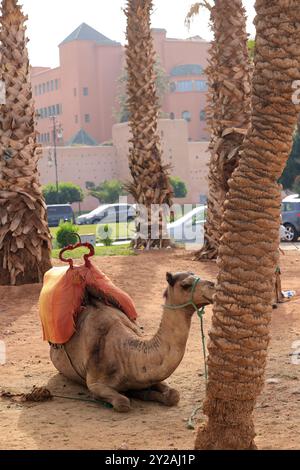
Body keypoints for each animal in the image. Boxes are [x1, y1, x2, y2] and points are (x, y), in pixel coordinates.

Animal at [49, 272, 214, 412]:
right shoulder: (95, 383)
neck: (126, 356)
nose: (213, 284)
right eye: (185, 285)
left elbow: (173, 395)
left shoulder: (150, 376)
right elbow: (123, 402)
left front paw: (145, 393)